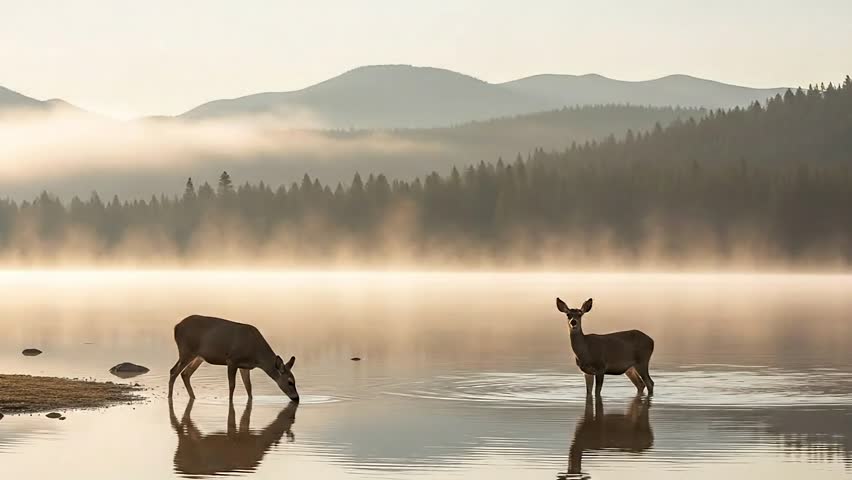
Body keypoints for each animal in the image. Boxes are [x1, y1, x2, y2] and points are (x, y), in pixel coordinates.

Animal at [168, 314, 300, 403]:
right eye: (290, 382)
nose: (297, 398)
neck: (257, 356)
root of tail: (176, 327)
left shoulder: (245, 367)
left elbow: (248, 386)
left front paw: (251, 400)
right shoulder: (232, 360)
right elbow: (232, 385)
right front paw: (230, 401)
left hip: (198, 357)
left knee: (185, 373)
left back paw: (193, 397)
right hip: (186, 351)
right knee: (173, 371)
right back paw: (170, 397)